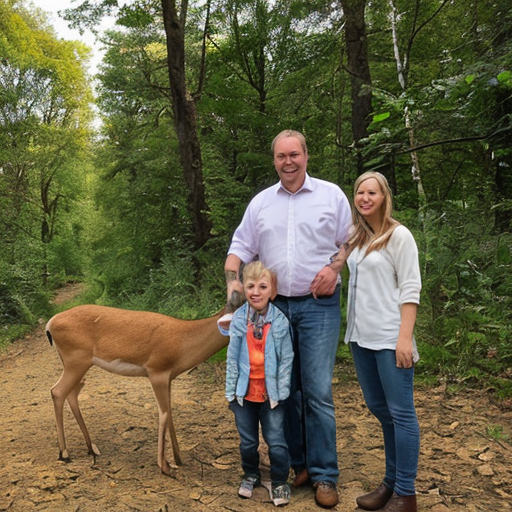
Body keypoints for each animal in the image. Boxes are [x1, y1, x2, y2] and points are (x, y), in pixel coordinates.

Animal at [45, 288, 245, 476]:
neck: (183, 342)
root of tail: (49, 324)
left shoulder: (169, 377)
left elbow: (170, 412)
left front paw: (178, 460)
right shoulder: (157, 371)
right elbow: (163, 414)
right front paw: (164, 467)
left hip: (76, 364)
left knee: (71, 392)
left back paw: (91, 448)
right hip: (76, 360)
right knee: (57, 391)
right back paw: (64, 453)